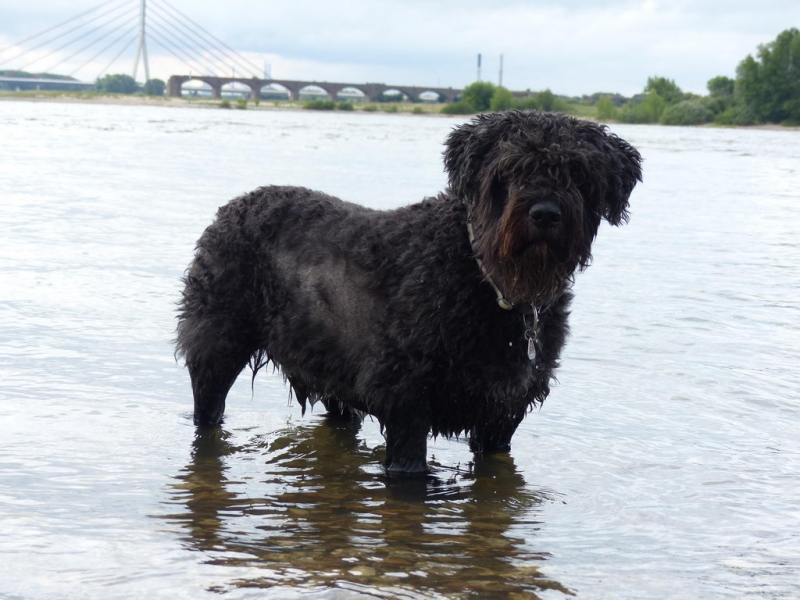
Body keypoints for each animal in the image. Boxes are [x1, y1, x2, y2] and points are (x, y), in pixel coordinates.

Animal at [176, 110, 642, 474]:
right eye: (510, 169)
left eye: (578, 172)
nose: (545, 214)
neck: (486, 282)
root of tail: (231, 208)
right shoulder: (406, 404)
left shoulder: (500, 418)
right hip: (216, 347)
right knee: (207, 406)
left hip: (331, 374)